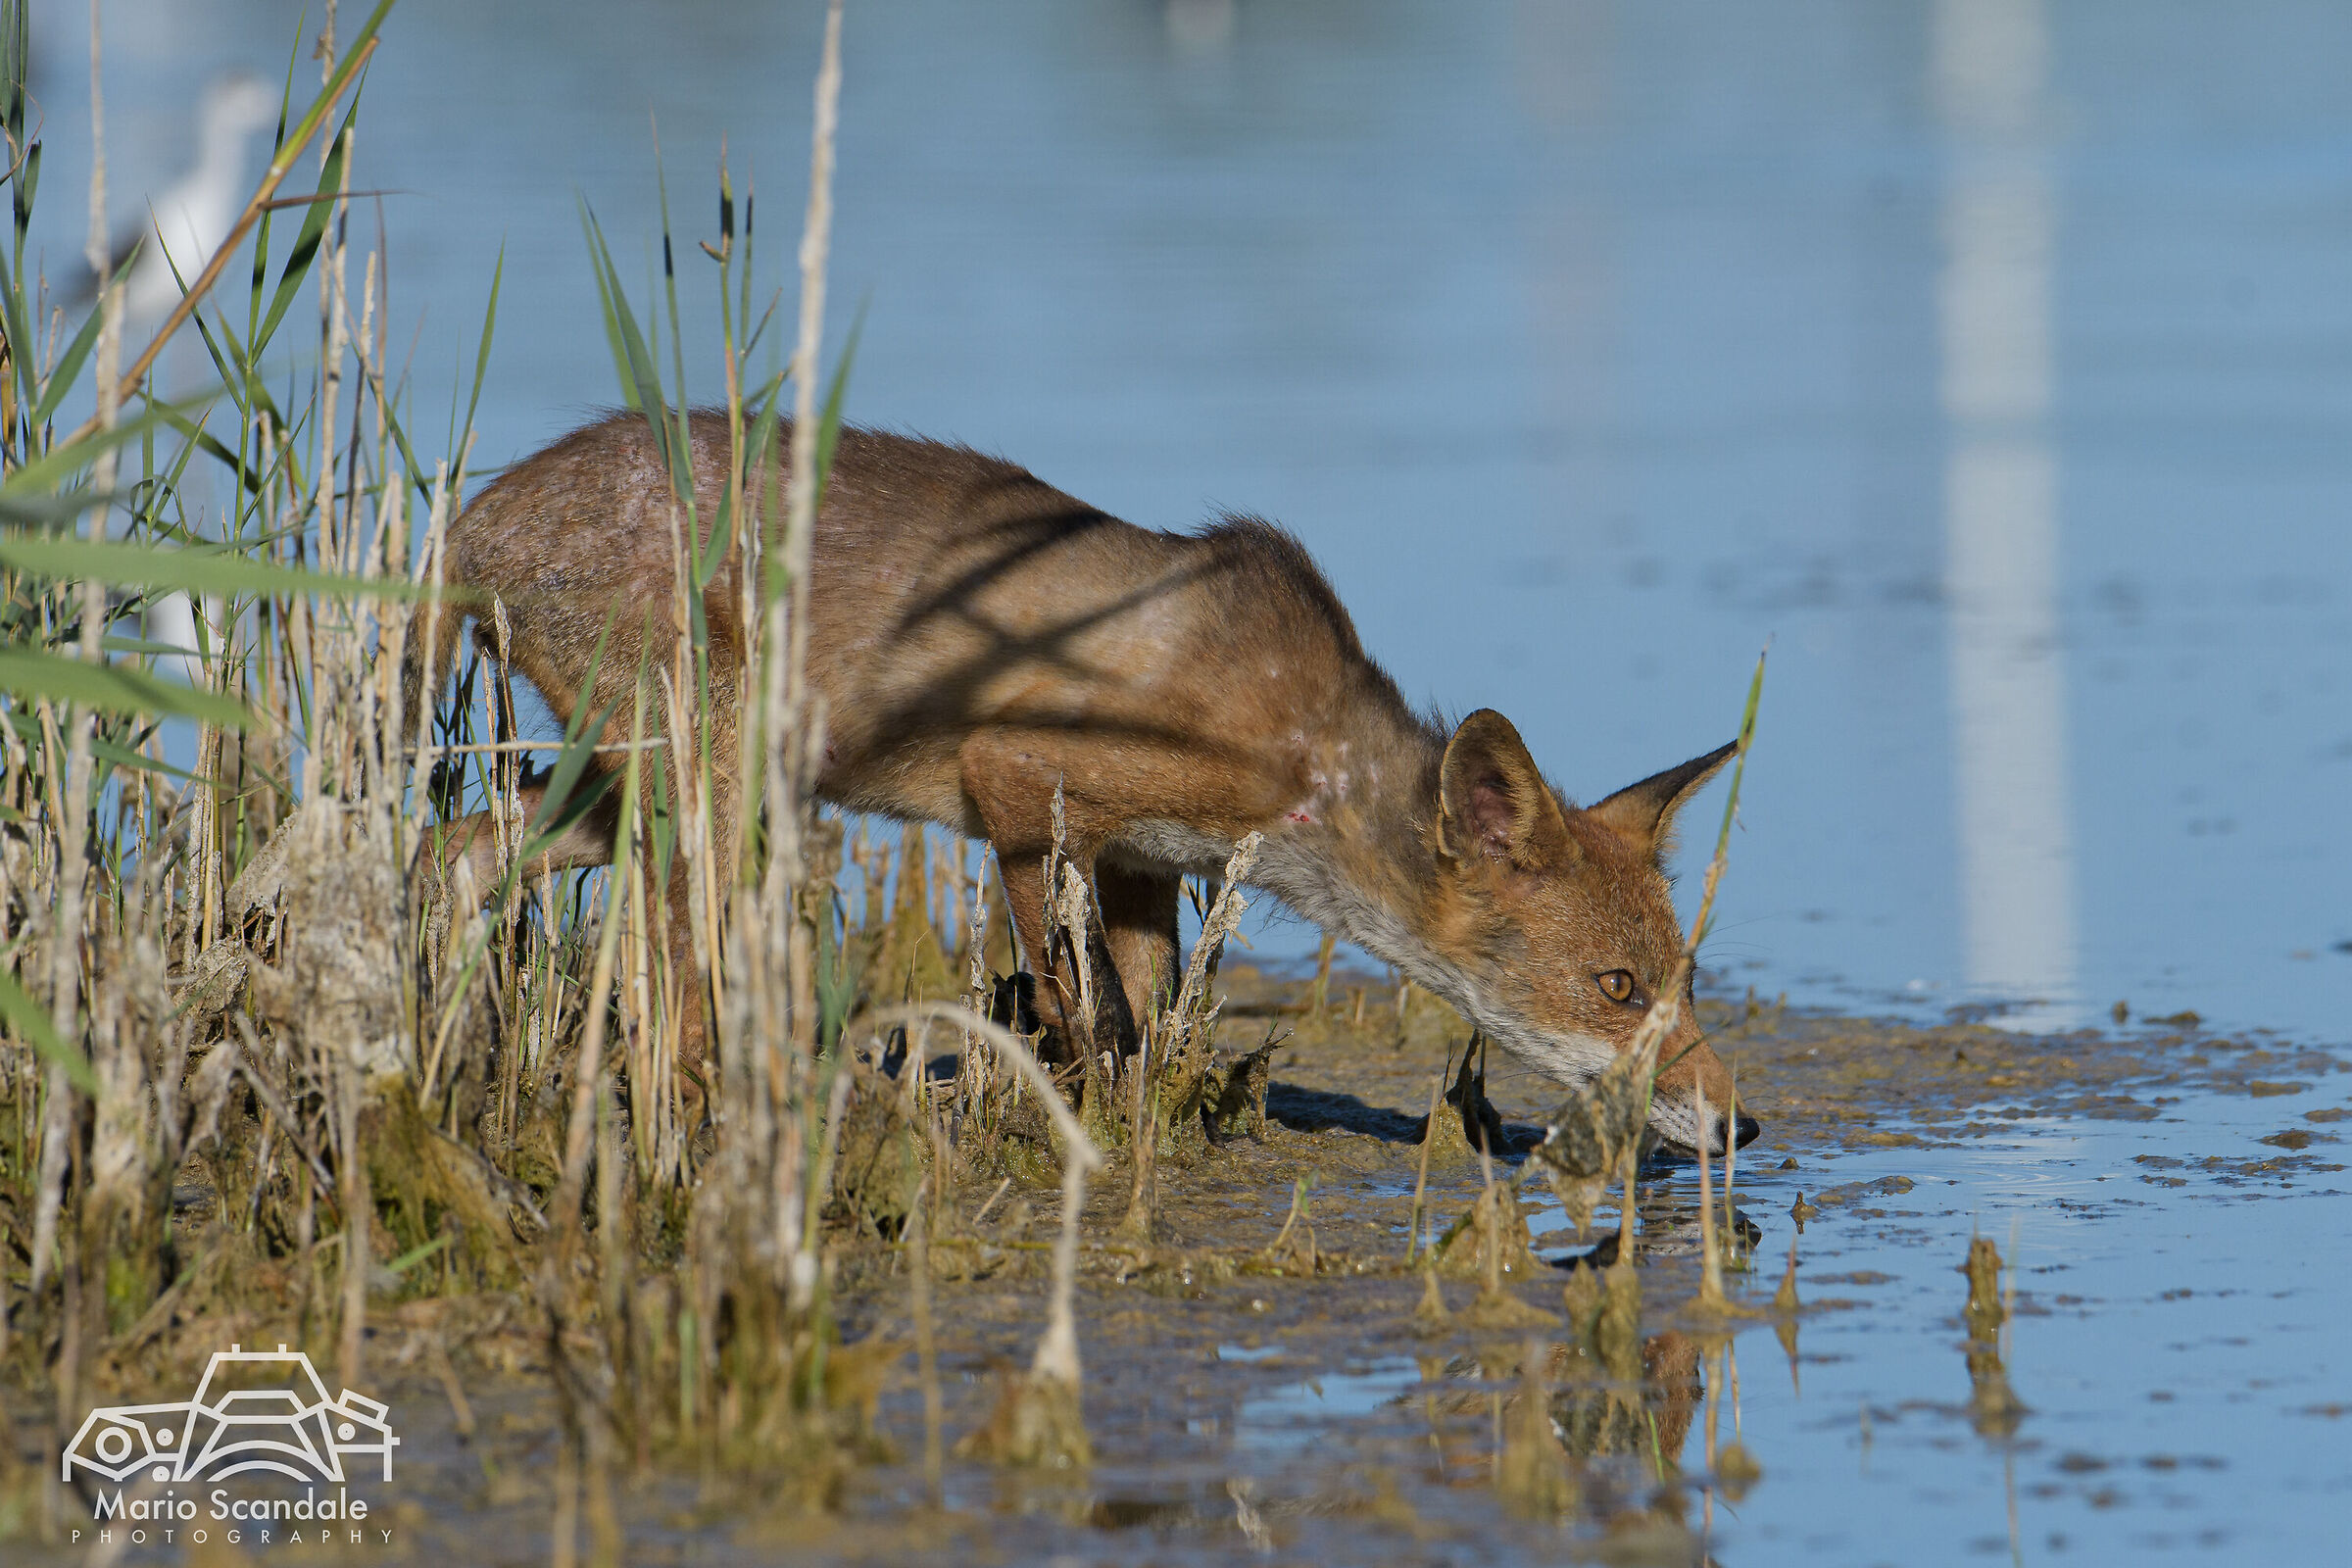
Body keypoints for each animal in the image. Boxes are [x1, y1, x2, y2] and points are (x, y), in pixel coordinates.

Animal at [420, 410, 1759, 1155]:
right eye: (1618, 987)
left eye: (1686, 983)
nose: (1741, 1126)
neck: (1298, 743)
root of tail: (479, 510)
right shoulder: (1018, 788)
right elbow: (1091, 1017)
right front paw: (1083, 1131)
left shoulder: (1144, 867)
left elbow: (1153, 1017)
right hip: (709, 784)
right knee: (668, 967)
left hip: (624, 793)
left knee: (458, 857)